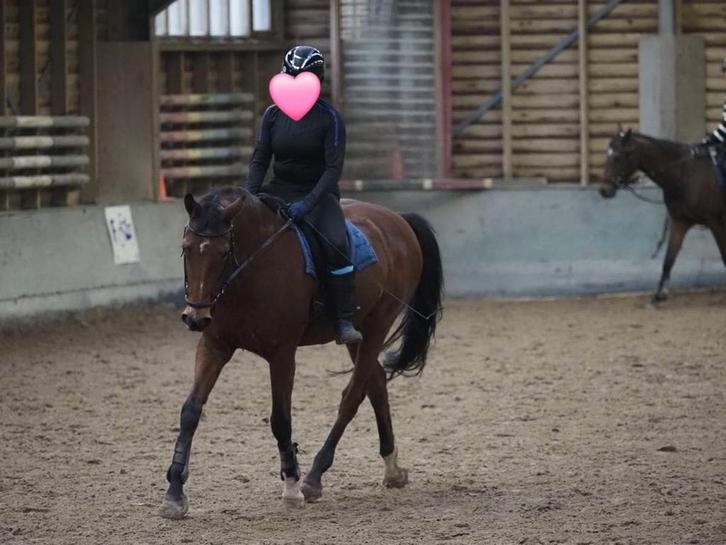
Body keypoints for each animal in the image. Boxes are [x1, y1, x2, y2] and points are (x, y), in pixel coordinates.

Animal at [159, 187, 443, 519]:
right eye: (186, 248)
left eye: (223, 252)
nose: (195, 318)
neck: (250, 272)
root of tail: (398, 218)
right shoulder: (215, 345)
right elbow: (190, 411)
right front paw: (174, 493)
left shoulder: (282, 354)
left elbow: (280, 419)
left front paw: (292, 485)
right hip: (357, 334)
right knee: (376, 383)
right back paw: (393, 469)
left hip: (378, 325)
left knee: (353, 396)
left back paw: (314, 476)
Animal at [599, 129, 726, 302]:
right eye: (608, 154)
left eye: (617, 157)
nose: (604, 190)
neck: (684, 174)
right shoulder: (680, 221)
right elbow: (669, 258)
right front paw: (660, 294)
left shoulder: (716, 222)